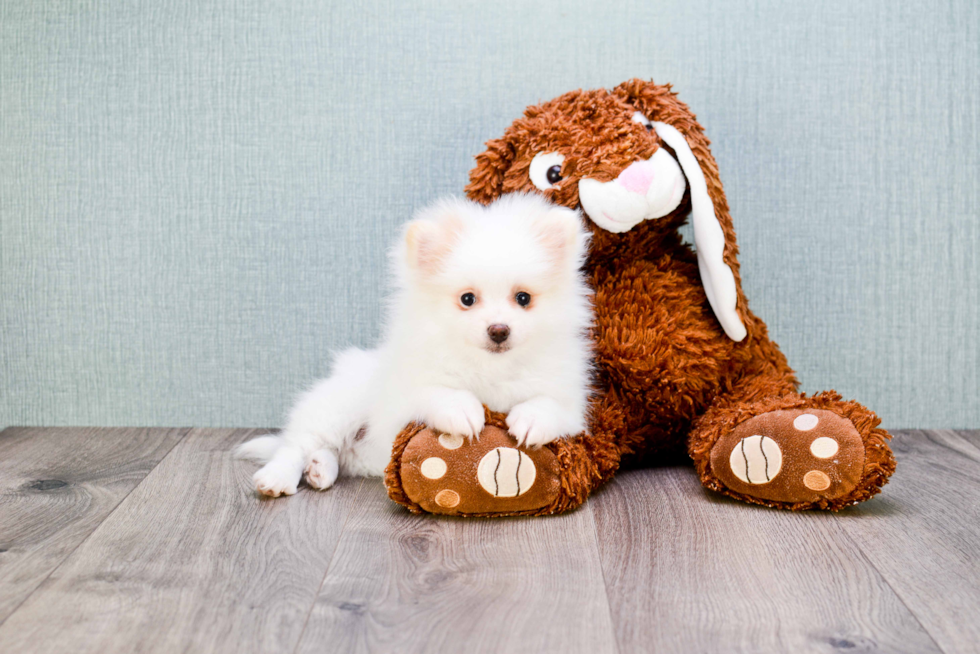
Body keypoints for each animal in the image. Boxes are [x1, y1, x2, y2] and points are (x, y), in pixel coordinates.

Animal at [238, 193, 592, 498]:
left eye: (523, 298)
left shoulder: (570, 400)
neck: (489, 368)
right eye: (467, 299)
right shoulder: (403, 395)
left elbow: (549, 403)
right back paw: (278, 477)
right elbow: (435, 391)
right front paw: (462, 411)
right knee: (297, 444)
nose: (499, 330)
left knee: (335, 453)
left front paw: (531, 420)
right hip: (338, 405)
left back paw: (319, 470)